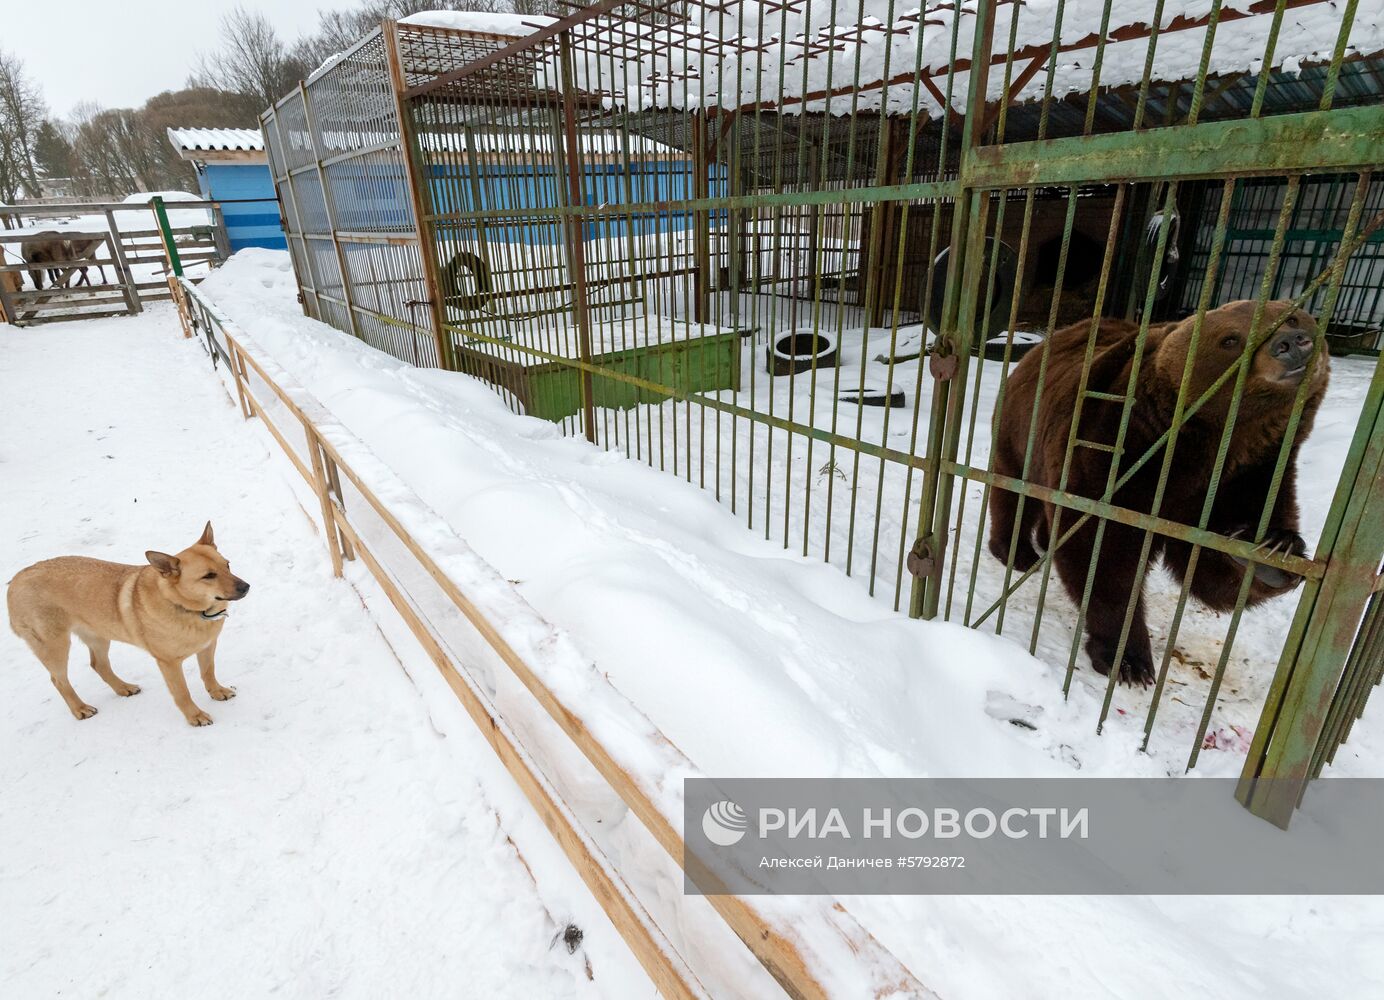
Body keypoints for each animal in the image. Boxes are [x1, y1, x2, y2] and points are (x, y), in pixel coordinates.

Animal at [8, 522, 251, 730]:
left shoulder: (207, 646)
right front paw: (195, 716)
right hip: (55, 646)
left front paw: (217, 692)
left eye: (227, 565)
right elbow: (182, 693)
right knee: (58, 680)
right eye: (208, 576)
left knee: (99, 665)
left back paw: (123, 688)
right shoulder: (169, 663)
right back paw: (80, 708)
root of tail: (14, 581)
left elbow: (208, 672)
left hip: (99, 635)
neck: (186, 607)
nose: (246, 586)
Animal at [985, 301, 1328, 683]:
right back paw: (1016, 552)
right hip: (1021, 431)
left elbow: (1210, 565)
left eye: (1294, 316)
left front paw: (1275, 547)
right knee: (1015, 492)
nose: (1291, 343)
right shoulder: (1115, 454)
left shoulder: (1252, 473)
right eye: (1230, 339)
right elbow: (1103, 557)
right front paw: (1128, 659)